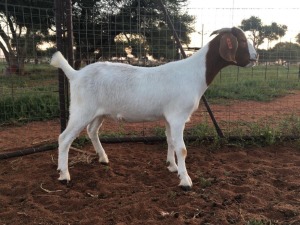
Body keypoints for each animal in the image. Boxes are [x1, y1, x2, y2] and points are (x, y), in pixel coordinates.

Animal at [50, 27, 256, 191]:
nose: (256, 57)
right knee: (64, 138)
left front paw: (172, 166)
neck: (195, 72)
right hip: (81, 110)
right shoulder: (178, 117)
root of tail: (75, 74)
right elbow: (182, 148)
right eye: (242, 40)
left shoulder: (169, 117)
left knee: (92, 130)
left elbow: (170, 141)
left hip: (98, 112)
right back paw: (64, 175)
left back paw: (103, 158)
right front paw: (185, 181)